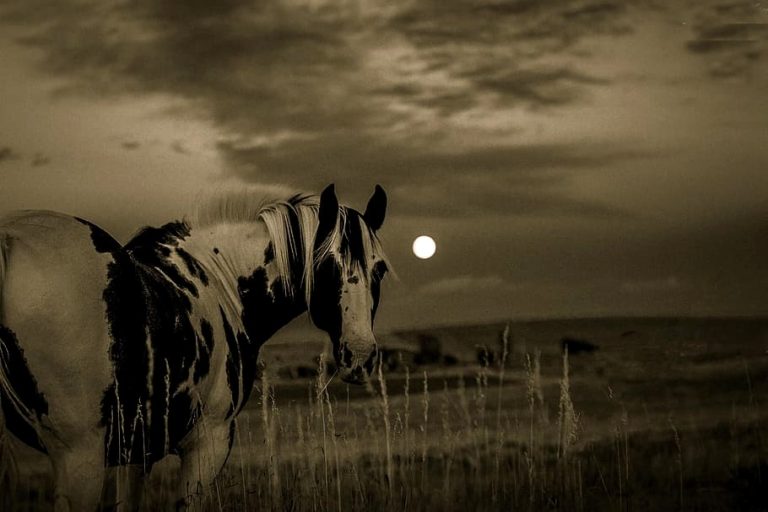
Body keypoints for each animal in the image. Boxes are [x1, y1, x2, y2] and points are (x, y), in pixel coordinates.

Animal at [0, 184, 389, 510]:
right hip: (80, 457)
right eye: (325, 266)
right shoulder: (209, 441)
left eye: (380, 269)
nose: (360, 356)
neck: (221, 282)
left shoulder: (136, 452)